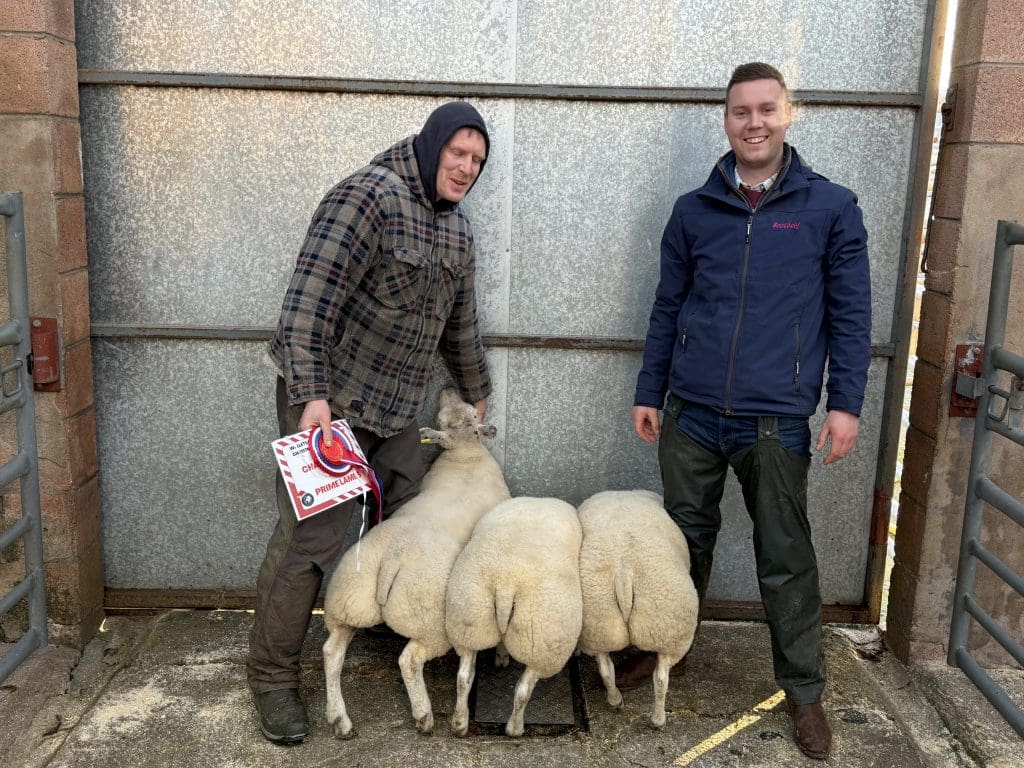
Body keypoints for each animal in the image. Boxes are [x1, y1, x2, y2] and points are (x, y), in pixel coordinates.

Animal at [321, 391, 509, 741]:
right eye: (447, 419)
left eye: (467, 413)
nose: (447, 390)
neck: (464, 454)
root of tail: (393, 557)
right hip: (430, 622)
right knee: (409, 659)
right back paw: (424, 716)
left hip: (347, 601)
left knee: (331, 653)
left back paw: (339, 719)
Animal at [444, 499, 581, 741]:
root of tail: (506, 583)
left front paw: (501, 655)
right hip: (542, 644)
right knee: (523, 691)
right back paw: (514, 729)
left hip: (469, 621)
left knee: (463, 678)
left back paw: (459, 723)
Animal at [577, 489, 696, 729]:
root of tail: (624, 572)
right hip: (672, 631)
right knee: (660, 678)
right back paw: (658, 720)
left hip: (599, 624)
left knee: (606, 670)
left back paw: (615, 701)